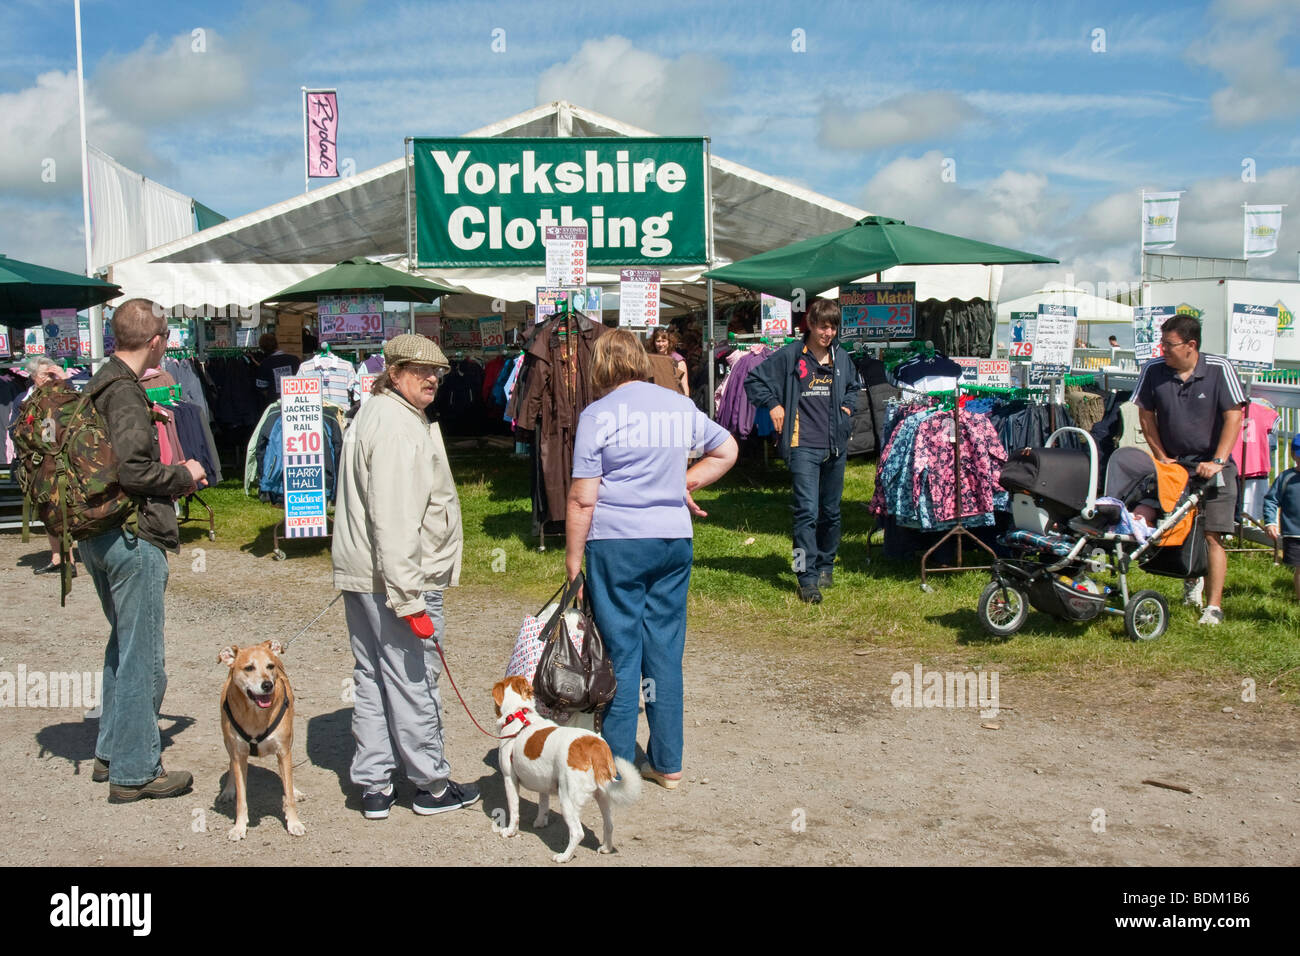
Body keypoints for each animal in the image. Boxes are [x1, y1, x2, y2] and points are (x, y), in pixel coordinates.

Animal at [220, 639, 309, 842]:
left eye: (270, 666)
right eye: (249, 668)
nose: (267, 684)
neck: (256, 715)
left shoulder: (284, 750)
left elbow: (288, 792)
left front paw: (294, 823)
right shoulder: (239, 754)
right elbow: (241, 798)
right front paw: (239, 827)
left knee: (287, 777)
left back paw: (296, 790)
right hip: (228, 743)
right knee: (230, 763)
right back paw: (228, 790)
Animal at [488, 671, 639, 868]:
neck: (519, 714)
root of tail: (594, 745)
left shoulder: (509, 779)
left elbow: (514, 811)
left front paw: (510, 831)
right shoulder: (542, 780)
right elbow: (543, 804)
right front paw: (540, 822)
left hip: (567, 798)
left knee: (577, 833)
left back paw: (564, 857)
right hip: (603, 796)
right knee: (609, 825)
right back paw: (606, 848)